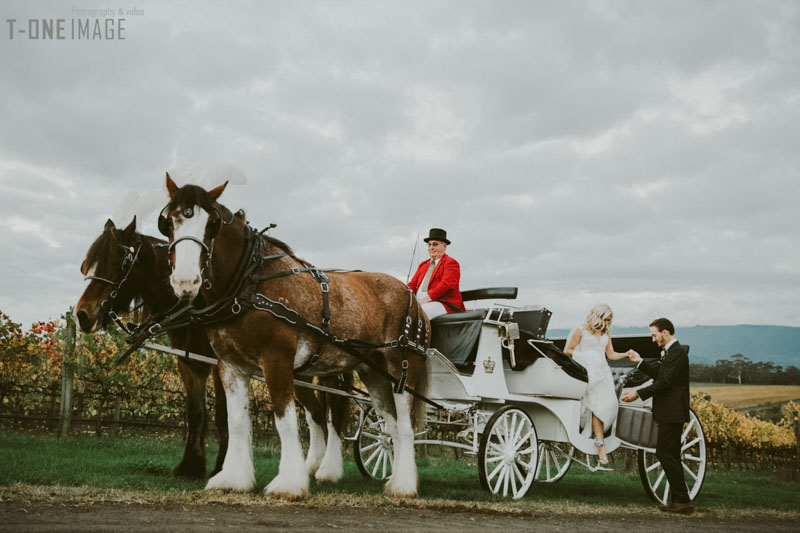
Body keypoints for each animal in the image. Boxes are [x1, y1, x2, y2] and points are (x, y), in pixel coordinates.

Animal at [76, 216, 356, 482]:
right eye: (86, 264)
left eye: (119, 261)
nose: (82, 315)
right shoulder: (188, 362)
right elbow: (196, 412)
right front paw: (191, 466)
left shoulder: (221, 362)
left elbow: (224, 414)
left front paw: (223, 467)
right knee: (316, 414)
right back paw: (313, 467)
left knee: (334, 417)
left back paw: (329, 469)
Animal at [159, 176, 428, 498]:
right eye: (168, 222)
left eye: (212, 224)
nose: (185, 281)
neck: (249, 282)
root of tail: (412, 297)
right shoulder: (230, 365)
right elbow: (237, 422)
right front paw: (234, 478)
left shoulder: (277, 360)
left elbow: (284, 421)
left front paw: (289, 483)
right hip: (372, 373)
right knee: (391, 424)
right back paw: (396, 479)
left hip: (402, 369)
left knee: (405, 427)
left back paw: (404, 485)